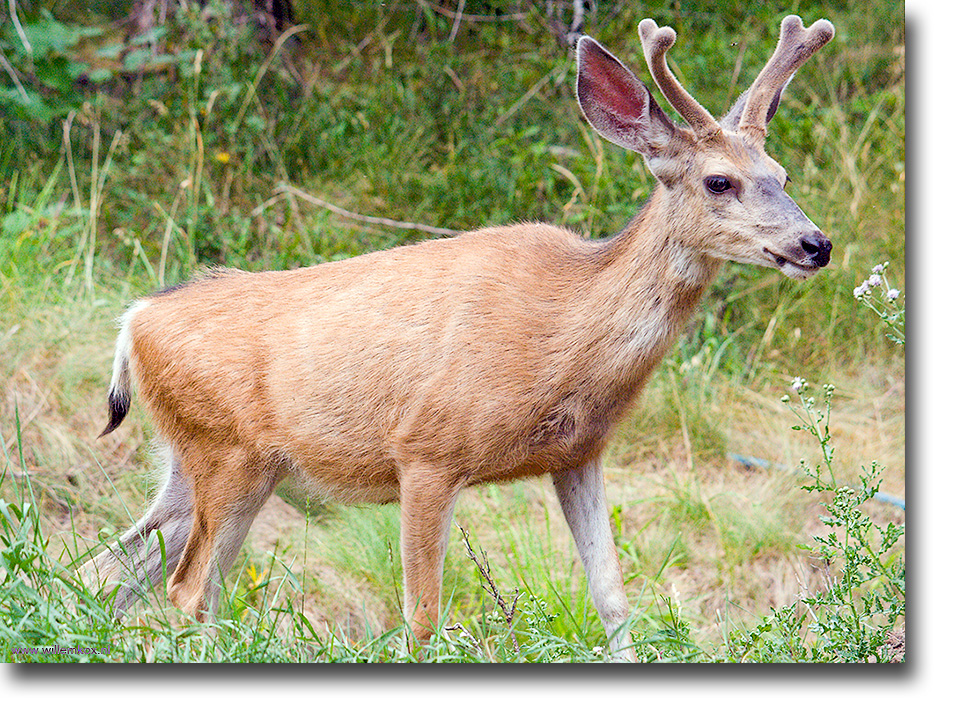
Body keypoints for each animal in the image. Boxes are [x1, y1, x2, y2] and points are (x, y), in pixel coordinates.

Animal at [81, 15, 834, 662]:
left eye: (782, 176)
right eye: (719, 180)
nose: (816, 244)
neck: (566, 328)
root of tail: (134, 318)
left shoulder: (579, 454)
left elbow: (614, 600)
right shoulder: (424, 448)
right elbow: (421, 617)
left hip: (200, 462)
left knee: (110, 571)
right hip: (227, 453)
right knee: (189, 589)